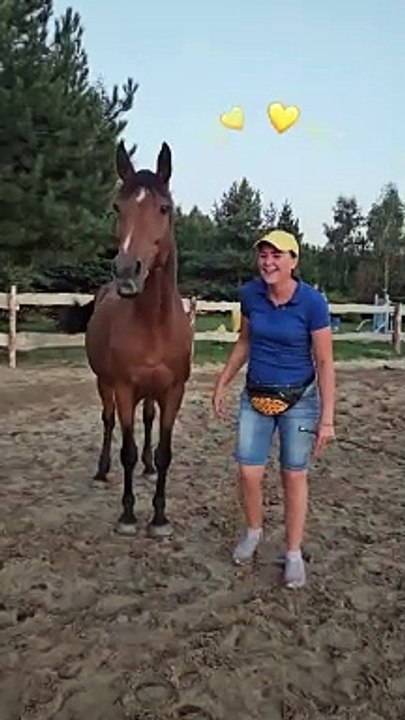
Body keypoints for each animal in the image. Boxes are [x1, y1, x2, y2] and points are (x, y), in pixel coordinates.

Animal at [63, 140, 193, 537]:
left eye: (164, 208)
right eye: (117, 207)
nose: (125, 272)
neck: (153, 324)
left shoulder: (173, 392)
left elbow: (164, 451)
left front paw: (160, 518)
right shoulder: (122, 388)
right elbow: (127, 451)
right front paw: (128, 515)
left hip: (150, 392)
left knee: (148, 420)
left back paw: (148, 469)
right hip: (105, 384)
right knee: (107, 422)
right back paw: (101, 471)